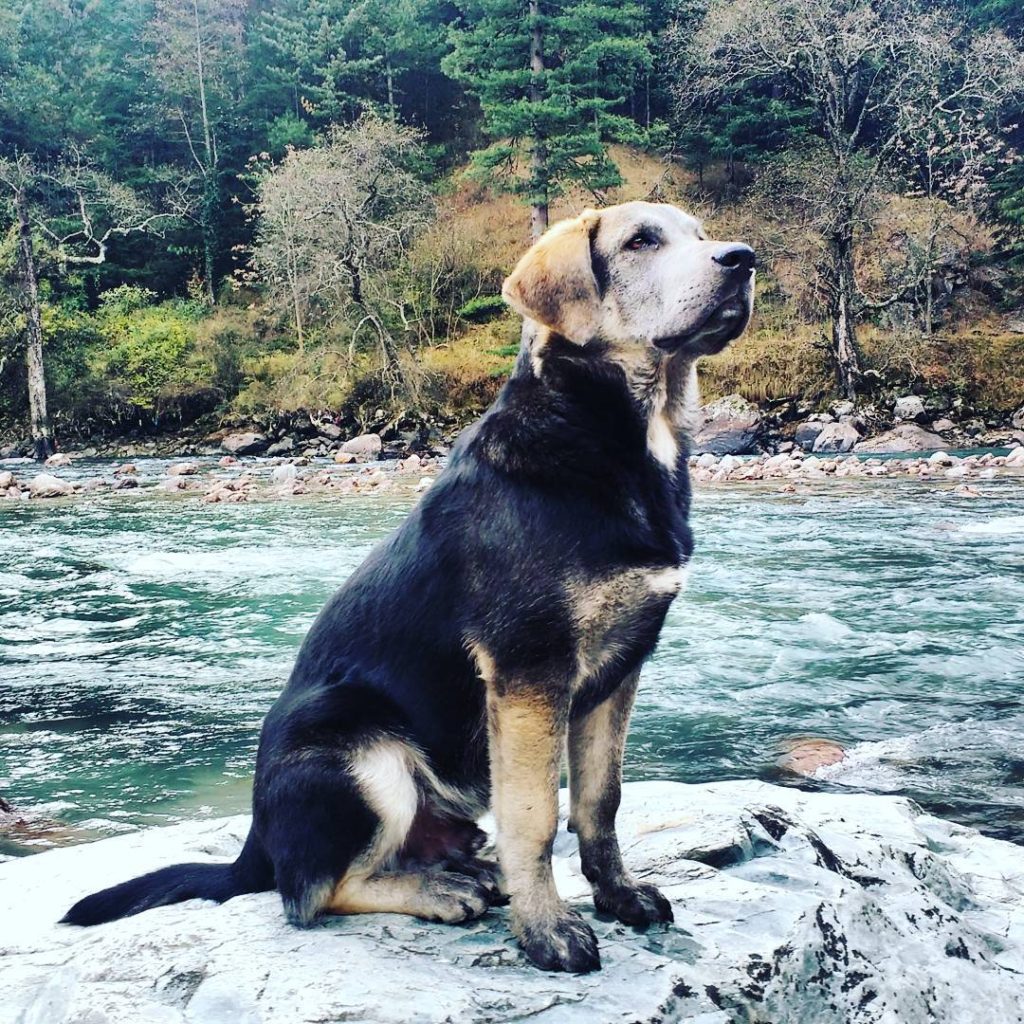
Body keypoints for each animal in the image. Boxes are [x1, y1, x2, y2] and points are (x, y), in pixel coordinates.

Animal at [61, 201, 753, 974]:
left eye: (700, 236)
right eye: (640, 242)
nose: (743, 259)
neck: (619, 435)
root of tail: (256, 843)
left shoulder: (619, 673)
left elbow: (600, 803)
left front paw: (619, 896)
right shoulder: (528, 672)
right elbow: (536, 816)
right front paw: (548, 929)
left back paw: (464, 871)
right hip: (364, 755)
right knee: (311, 893)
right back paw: (437, 892)